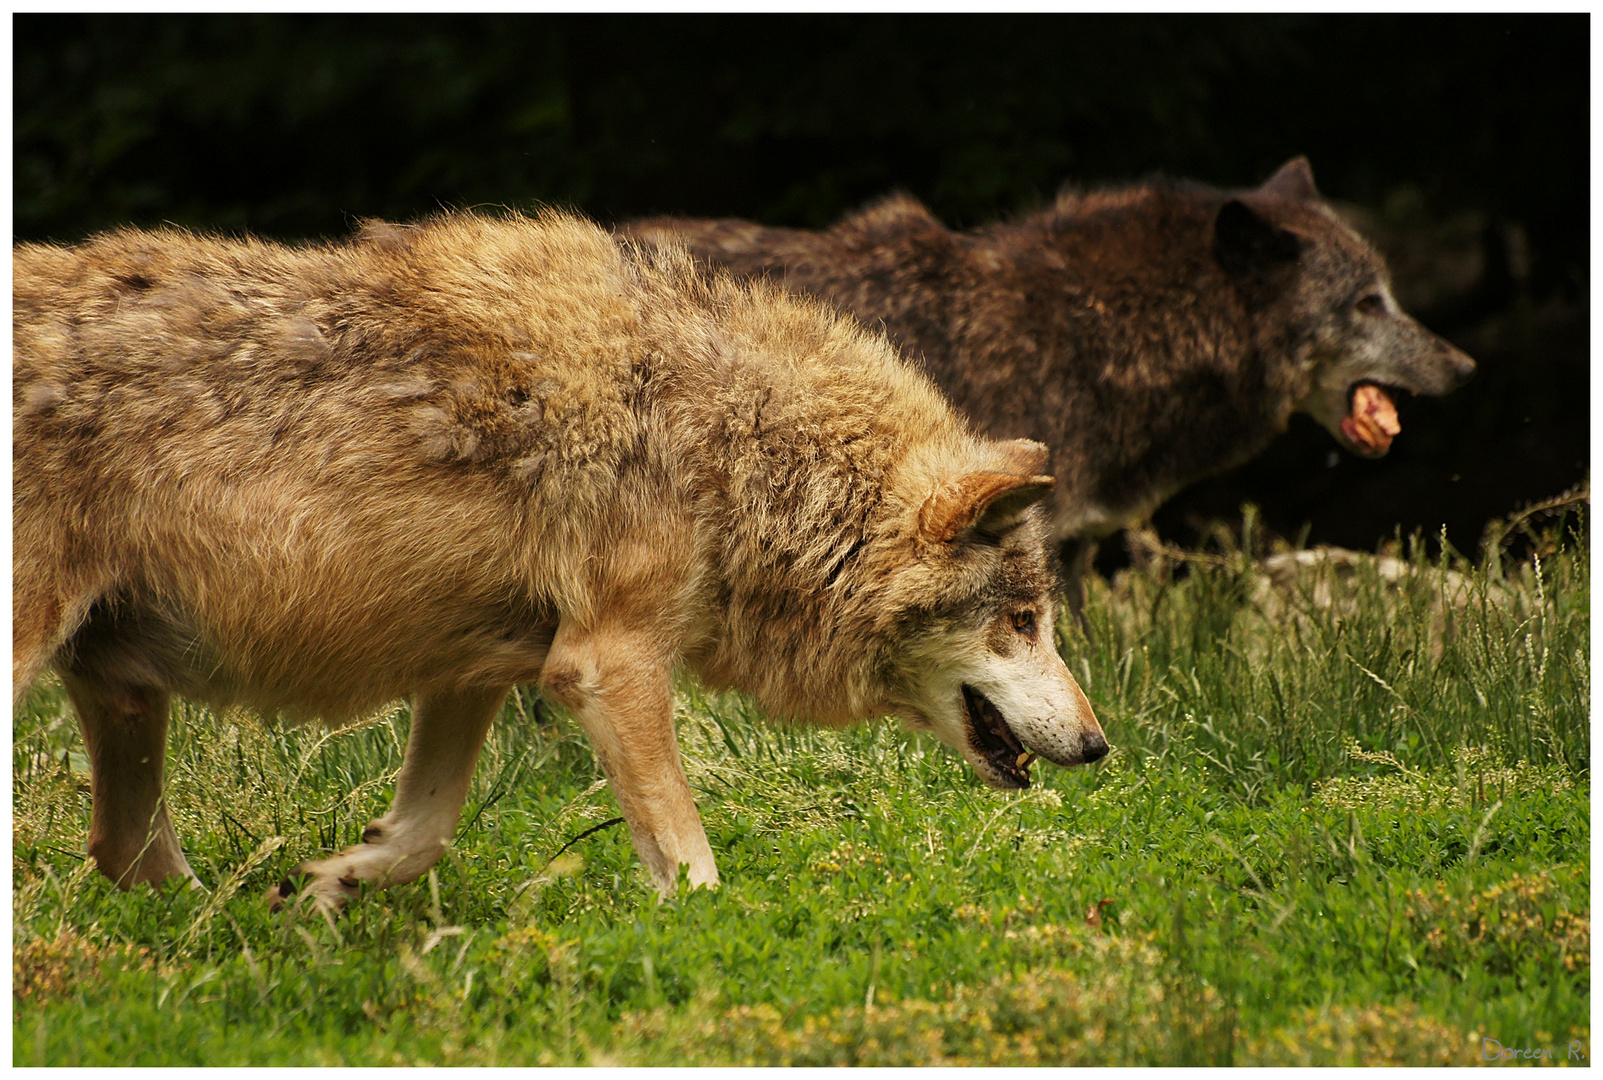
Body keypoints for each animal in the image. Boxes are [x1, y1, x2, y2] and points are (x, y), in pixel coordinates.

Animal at [12, 209, 1109, 910]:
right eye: (1021, 622)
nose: (1102, 747)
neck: (736, 446)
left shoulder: (474, 670)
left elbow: (421, 833)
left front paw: (325, 888)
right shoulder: (604, 664)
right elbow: (693, 868)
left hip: (125, 693)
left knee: (125, 857)